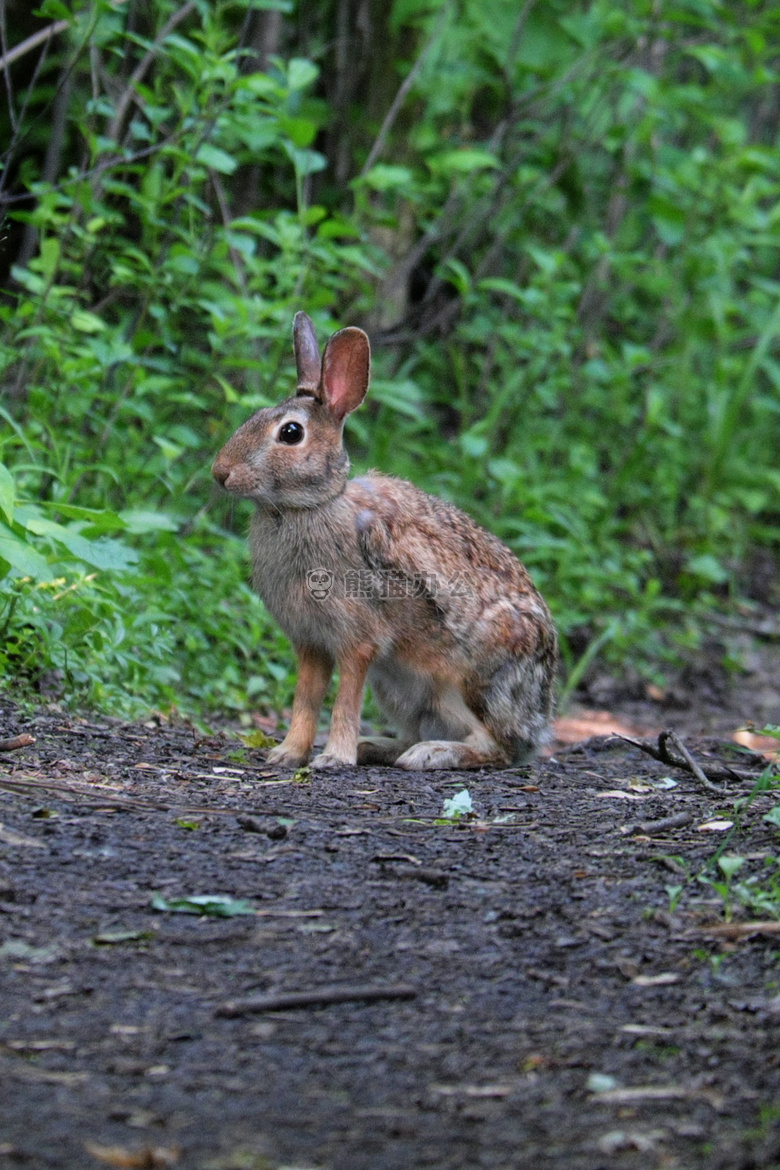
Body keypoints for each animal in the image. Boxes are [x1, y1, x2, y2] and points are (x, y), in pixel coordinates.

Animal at [210, 311, 558, 772]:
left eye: (290, 433)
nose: (220, 473)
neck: (310, 506)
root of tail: (539, 719)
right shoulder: (311, 642)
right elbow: (306, 698)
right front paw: (289, 753)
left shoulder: (359, 639)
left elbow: (344, 699)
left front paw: (333, 758)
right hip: (398, 688)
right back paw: (376, 747)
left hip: (470, 682)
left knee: (496, 747)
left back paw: (430, 754)